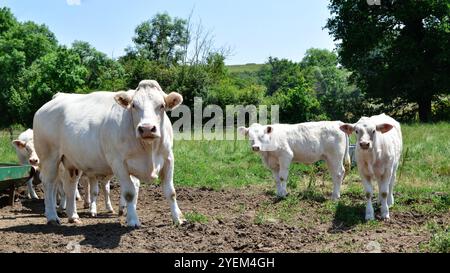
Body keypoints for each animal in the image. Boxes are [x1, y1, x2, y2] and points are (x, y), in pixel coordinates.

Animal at [32, 79, 185, 226]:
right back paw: (52, 216)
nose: (147, 128)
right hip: (49, 157)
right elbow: (129, 193)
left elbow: (171, 192)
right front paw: (133, 220)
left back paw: (73, 216)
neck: (148, 149)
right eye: (134, 105)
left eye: (162, 105)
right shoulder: (118, 163)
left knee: (71, 185)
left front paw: (178, 219)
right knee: (49, 183)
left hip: (71, 161)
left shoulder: (168, 159)